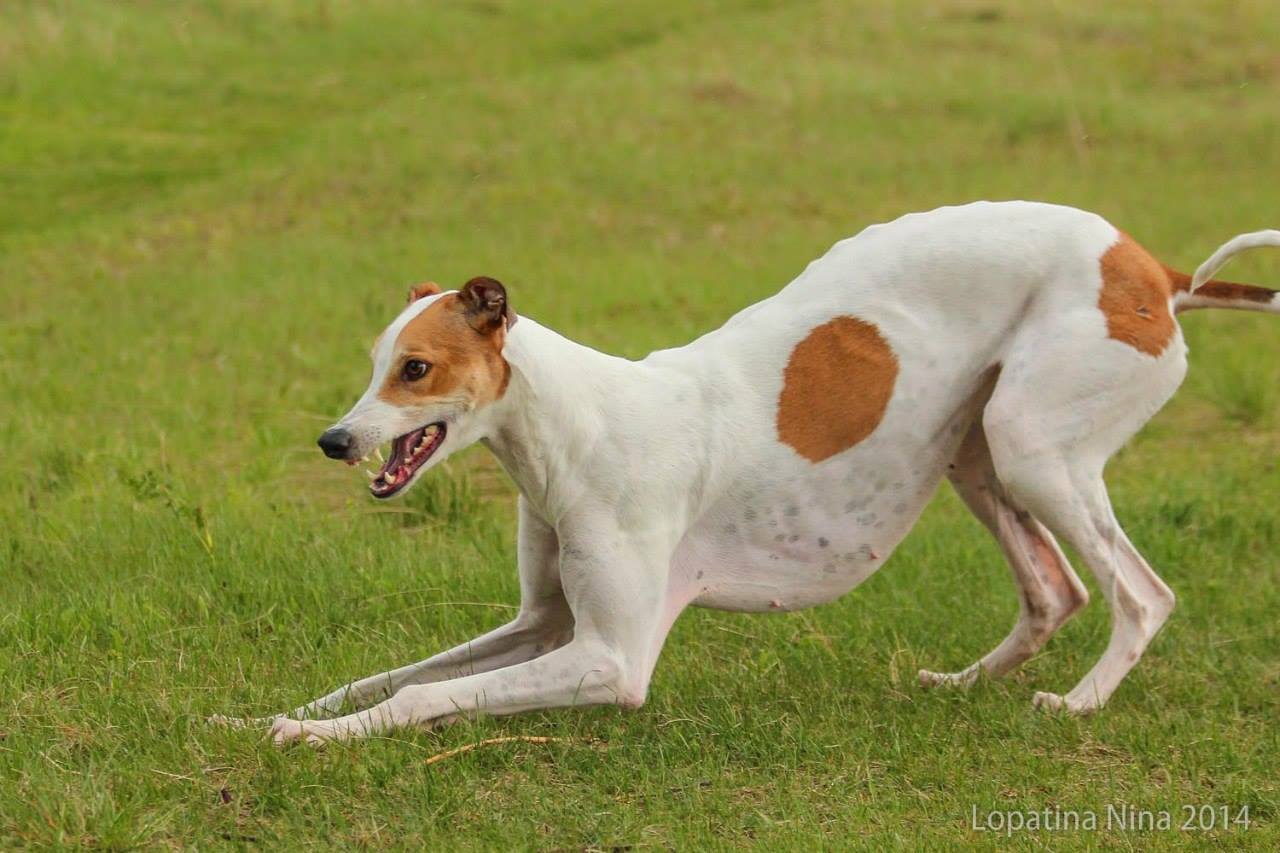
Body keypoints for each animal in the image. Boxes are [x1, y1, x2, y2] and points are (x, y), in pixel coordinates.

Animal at [252, 202, 1280, 742]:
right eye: (374, 361)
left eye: (416, 368)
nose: (334, 440)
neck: (578, 421)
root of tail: (1151, 267)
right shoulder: (541, 623)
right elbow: (386, 676)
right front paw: (279, 713)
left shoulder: (609, 657)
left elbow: (423, 694)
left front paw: (307, 737)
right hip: (978, 452)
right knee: (1055, 591)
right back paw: (959, 684)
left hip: (1032, 449)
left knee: (1141, 594)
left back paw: (1076, 702)